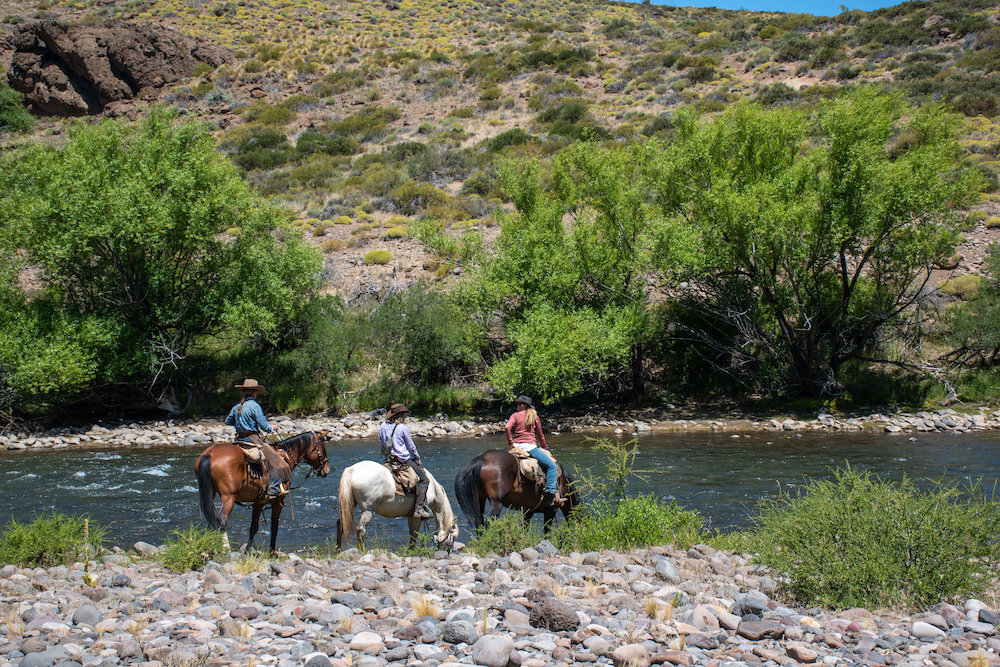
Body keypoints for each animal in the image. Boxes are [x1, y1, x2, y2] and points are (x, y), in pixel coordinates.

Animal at [196, 434, 332, 552]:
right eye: (323, 448)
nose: (327, 470)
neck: (287, 457)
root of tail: (208, 454)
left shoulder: (259, 502)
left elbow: (253, 527)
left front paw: (247, 550)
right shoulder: (279, 501)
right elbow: (274, 527)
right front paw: (272, 552)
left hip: (210, 493)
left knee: (210, 520)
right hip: (228, 496)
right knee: (222, 520)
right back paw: (226, 548)